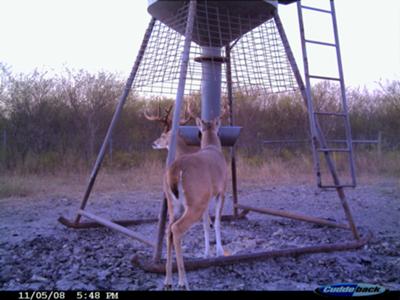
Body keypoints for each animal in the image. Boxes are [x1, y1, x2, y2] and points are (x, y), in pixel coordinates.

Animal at [161, 116, 227, 290]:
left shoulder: (206, 197)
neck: (212, 147)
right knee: (176, 229)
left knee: (168, 230)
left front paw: (207, 253)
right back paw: (183, 282)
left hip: (174, 205)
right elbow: (217, 222)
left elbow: (206, 225)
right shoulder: (221, 191)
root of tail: (175, 170)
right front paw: (219, 251)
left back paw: (168, 280)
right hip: (194, 203)